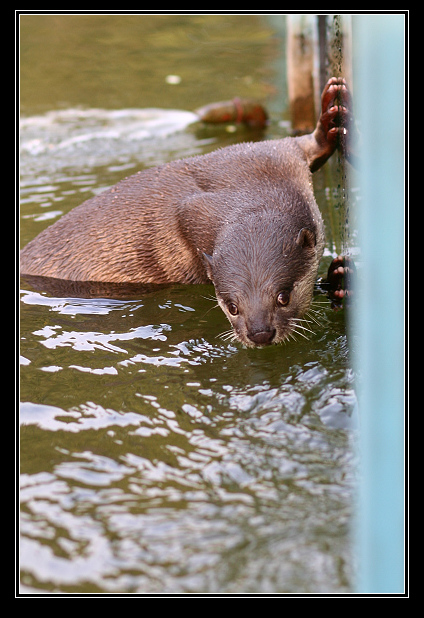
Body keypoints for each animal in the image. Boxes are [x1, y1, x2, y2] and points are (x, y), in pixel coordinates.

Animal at [19, 76, 354, 344]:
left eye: (283, 296)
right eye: (232, 306)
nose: (259, 333)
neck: (251, 188)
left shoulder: (269, 157)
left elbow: (307, 146)